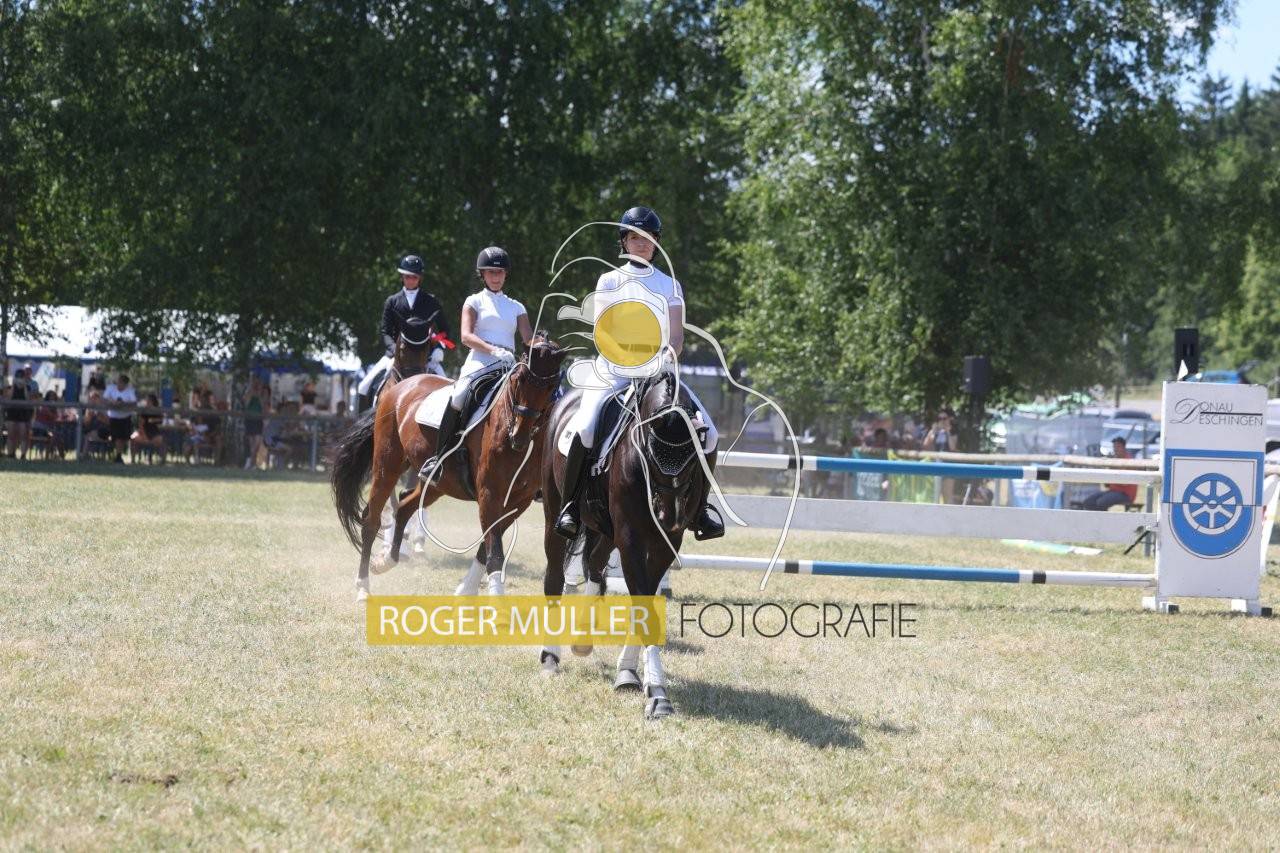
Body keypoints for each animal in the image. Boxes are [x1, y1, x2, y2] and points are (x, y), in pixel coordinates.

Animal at [331, 337, 567, 601]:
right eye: (520, 379)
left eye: (551, 387)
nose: (519, 436)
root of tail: (400, 387)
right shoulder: (490, 495)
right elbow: (494, 552)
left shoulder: (519, 501)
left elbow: (486, 549)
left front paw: (466, 589)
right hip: (387, 464)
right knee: (372, 520)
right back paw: (363, 586)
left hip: (439, 484)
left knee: (404, 506)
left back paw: (386, 561)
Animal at [538, 371, 713, 719]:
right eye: (650, 455)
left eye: (692, 460)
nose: (667, 516)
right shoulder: (631, 538)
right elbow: (643, 603)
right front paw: (658, 695)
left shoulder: (664, 543)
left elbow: (644, 604)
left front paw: (629, 674)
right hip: (555, 512)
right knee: (554, 576)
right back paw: (550, 657)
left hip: (605, 531)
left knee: (594, 569)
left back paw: (582, 640)